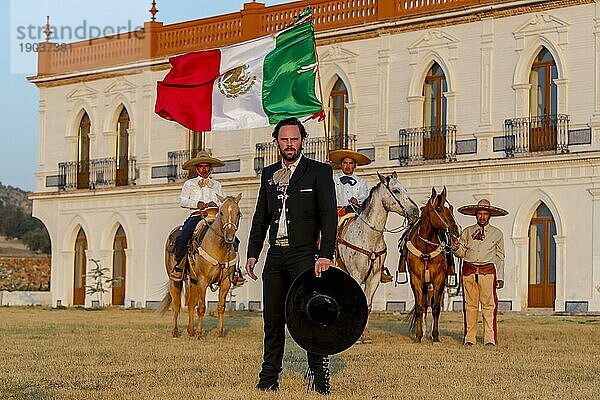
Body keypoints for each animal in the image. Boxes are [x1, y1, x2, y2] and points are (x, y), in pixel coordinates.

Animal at [162, 194, 244, 338]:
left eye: (238, 213)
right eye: (221, 212)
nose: (229, 236)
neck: (218, 247)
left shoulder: (225, 282)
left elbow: (221, 307)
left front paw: (219, 332)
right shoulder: (203, 280)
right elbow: (201, 308)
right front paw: (200, 333)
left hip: (193, 280)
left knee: (190, 304)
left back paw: (191, 330)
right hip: (175, 280)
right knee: (176, 304)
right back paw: (176, 331)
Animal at [336, 170, 420, 342]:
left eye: (405, 189)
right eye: (396, 190)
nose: (415, 212)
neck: (368, 236)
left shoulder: (374, 277)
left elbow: (367, 304)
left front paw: (364, 335)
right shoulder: (355, 275)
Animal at [404, 187, 460, 340]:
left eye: (451, 208)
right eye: (439, 209)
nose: (456, 230)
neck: (425, 247)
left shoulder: (439, 279)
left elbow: (435, 308)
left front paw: (435, 335)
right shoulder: (416, 279)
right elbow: (419, 308)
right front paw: (418, 334)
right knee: (423, 305)